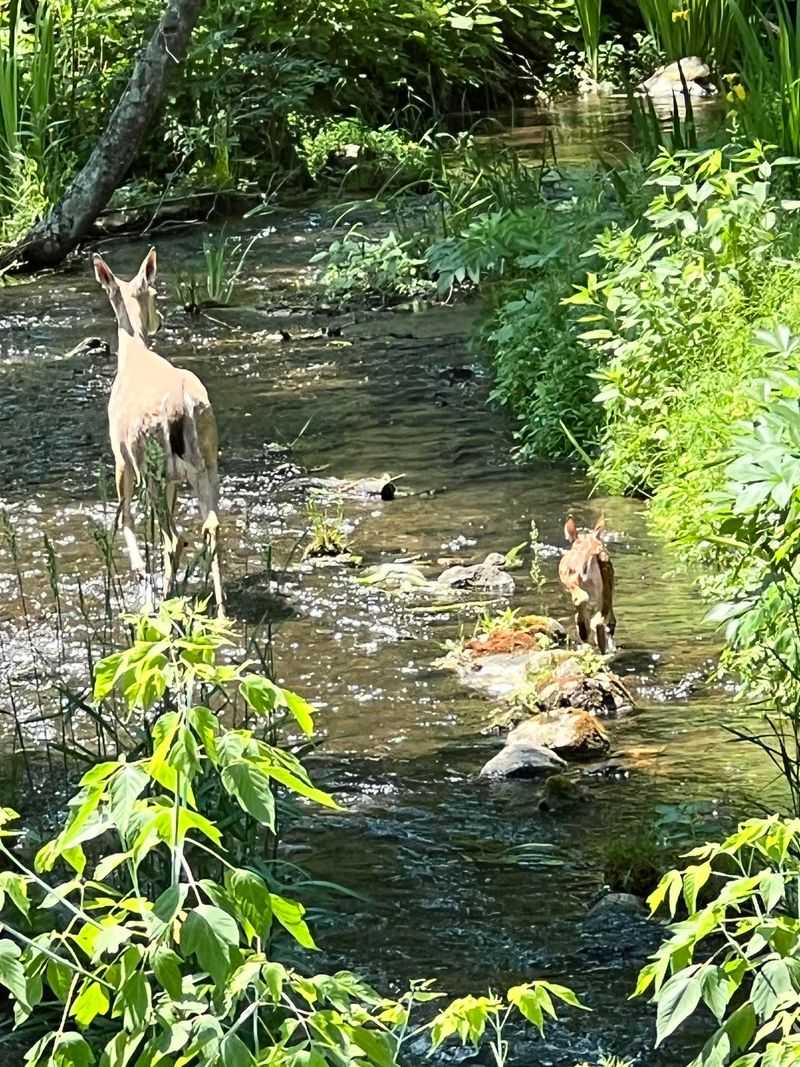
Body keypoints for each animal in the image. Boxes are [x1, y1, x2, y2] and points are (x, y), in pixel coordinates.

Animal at [92, 247, 224, 616]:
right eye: (153, 292)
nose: (161, 318)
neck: (133, 356)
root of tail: (181, 407)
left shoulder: (121, 457)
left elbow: (124, 517)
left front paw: (140, 571)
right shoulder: (174, 478)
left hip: (149, 463)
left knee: (173, 538)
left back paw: (164, 599)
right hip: (206, 458)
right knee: (211, 526)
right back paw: (220, 610)